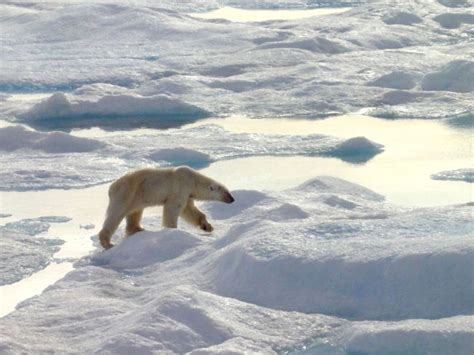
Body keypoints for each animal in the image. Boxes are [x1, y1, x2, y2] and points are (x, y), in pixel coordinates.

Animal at [98, 167, 235, 250]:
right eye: (226, 192)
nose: (232, 199)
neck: (193, 180)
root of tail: (111, 186)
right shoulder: (180, 188)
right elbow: (173, 208)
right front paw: (172, 230)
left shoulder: (187, 194)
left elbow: (189, 210)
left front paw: (207, 226)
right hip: (126, 193)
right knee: (116, 215)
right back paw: (108, 243)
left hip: (137, 197)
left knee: (134, 213)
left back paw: (139, 229)